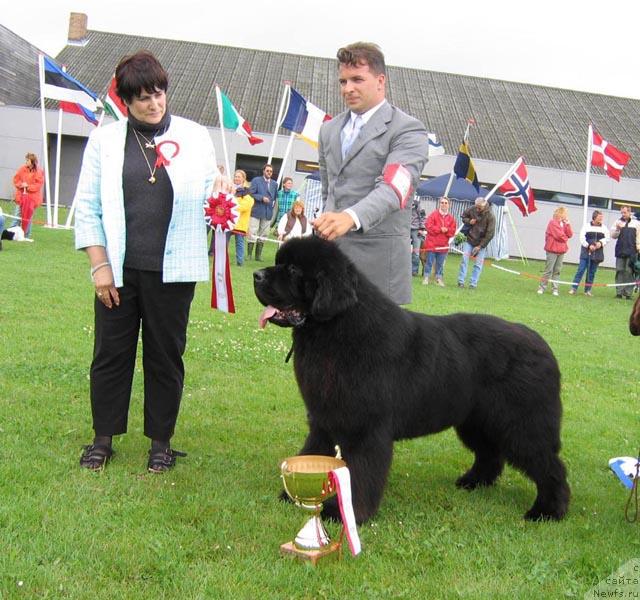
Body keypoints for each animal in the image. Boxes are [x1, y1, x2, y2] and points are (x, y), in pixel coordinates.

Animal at [255, 237, 568, 524]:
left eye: (293, 269)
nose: (256, 275)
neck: (335, 331)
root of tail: (543, 345)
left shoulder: (365, 429)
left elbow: (360, 473)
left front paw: (346, 514)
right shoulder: (325, 417)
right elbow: (313, 451)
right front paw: (293, 496)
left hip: (522, 425)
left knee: (549, 466)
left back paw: (548, 511)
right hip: (476, 421)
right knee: (490, 454)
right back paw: (473, 482)